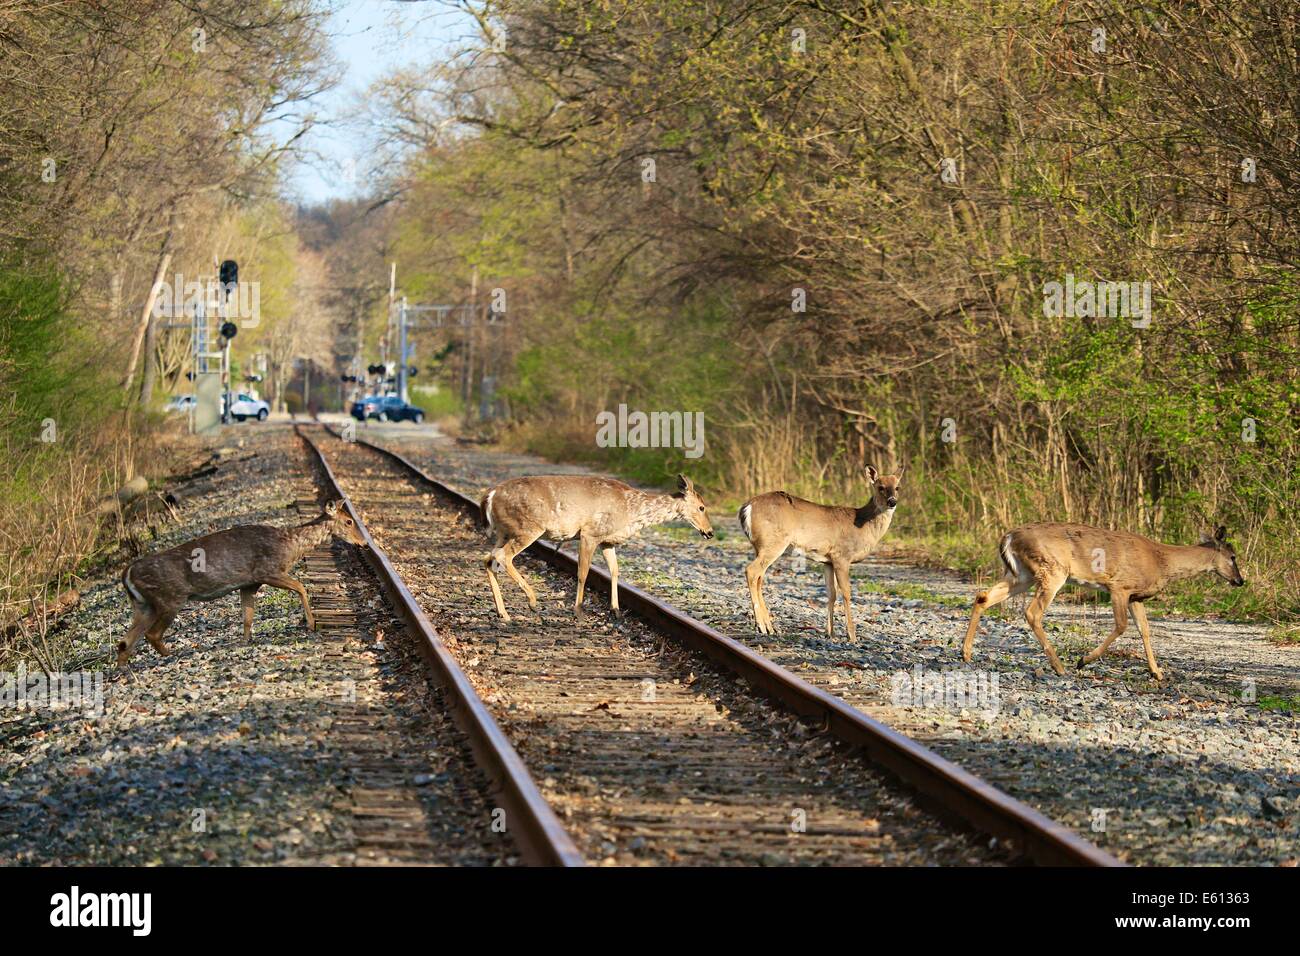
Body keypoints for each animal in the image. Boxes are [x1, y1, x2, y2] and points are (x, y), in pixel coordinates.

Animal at [116, 499, 368, 667]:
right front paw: (312, 624)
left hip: (144, 605)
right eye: (349, 521)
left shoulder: (248, 584)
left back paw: (123, 670)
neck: (290, 545)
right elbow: (301, 587)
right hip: (170, 598)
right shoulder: (267, 570)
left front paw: (245, 641)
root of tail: (127, 572)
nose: (364, 542)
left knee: (125, 641)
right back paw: (170, 656)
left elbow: (247, 616)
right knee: (151, 634)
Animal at [480, 473, 714, 623]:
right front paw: (578, 610)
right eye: (702, 507)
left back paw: (504, 614)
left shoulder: (607, 541)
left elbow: (615, 571)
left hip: (505, 531)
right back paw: (532, 601)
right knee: (502, 556)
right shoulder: (589, 533)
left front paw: (616, 610)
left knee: (488, 558)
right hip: (528, 527)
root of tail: (490, 496)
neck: (632, 510)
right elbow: (583, 572)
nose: (710, 532)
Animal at [739, 464, 904, 640]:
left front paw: (830, 632)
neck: (862, 524)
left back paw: (770, 627)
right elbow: (846, 592)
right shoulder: (841, 556)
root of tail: (746, 508)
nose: (892, 501)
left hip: (761, 546)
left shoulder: (828, 561)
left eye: (897, 487)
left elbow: (831, 593)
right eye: (880, 487)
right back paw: (762, 626)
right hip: (773, 543)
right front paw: (851, 636)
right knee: (751, 571)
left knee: (759, 578)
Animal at [962, 523, 1245, 681]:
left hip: (1023, 574)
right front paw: (1083, 660)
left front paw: (1157, 672)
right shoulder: (1119, 586)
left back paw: (966, 653)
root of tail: (1008, 536)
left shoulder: (1136, 596)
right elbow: (1121, 626)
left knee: (983, 596)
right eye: (1233, 557)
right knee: (1032, 613)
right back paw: (1060, 667)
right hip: (1052, 570)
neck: (1161, 560)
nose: (1240, 580)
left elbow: (1145, 630)